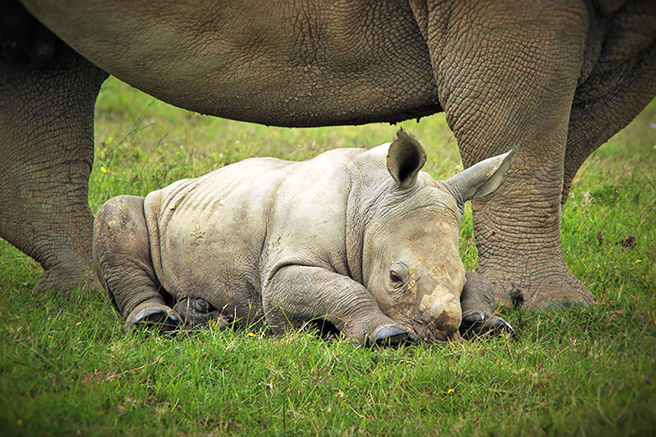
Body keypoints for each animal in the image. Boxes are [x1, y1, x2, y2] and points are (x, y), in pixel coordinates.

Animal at [1, 0, 656, 308]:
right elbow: (524, 132)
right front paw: (547, 308)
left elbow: (560, 147)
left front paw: (515, 303)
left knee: (45, 66)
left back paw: (84, 292)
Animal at [92, 129, 512, 344]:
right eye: (395, 278)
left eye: (458, 278)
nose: (438, 334)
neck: (371, 199)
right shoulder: (281, 270)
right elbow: (343, 289)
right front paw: (389, 336)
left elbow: (482, 281)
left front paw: (488, 324)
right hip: (154, 207)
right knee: (118, 211)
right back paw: (153, 320)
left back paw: (202, 316)